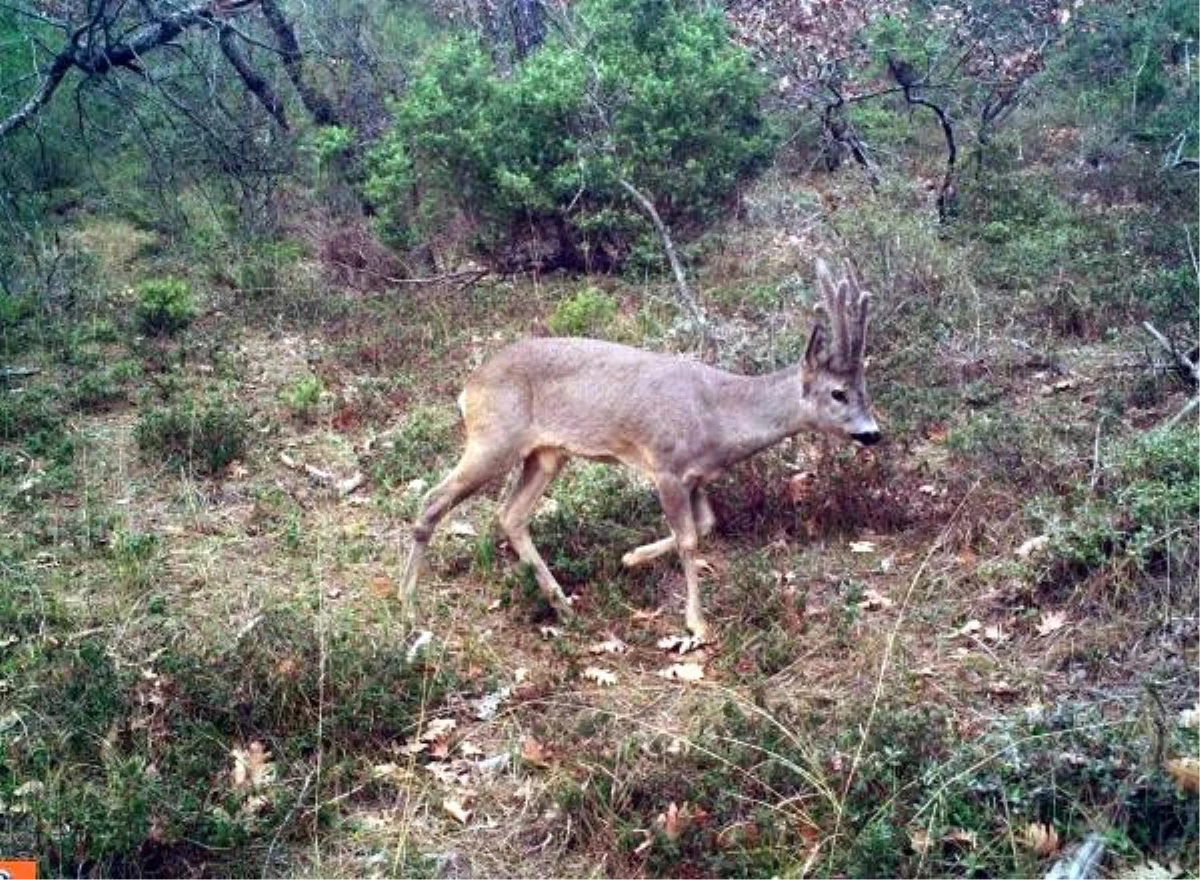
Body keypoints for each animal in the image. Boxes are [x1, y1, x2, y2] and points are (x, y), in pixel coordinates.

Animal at [398, 259, 878, 638]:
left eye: (864, 387)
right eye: (837, 393)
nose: (873, 433)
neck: (719, 415)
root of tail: (467, 388)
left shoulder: (696, 477)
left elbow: (706, 525)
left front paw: (631, 557)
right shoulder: (666, 466)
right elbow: (689, 539)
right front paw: (697, 623)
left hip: (546, 454)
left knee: (510, 515)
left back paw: (563, 606)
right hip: (494, 439)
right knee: (433, 500)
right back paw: (407, 604)